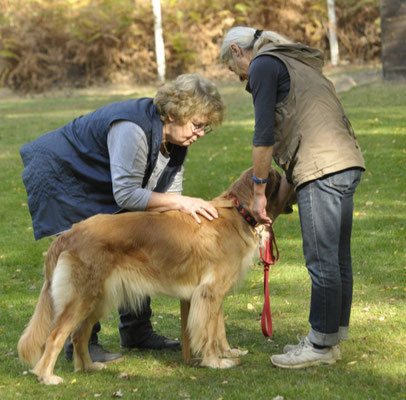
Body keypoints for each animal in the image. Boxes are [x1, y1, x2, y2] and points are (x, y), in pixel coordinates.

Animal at [18, 166, 294, 384]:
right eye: (282, 179)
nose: (295, 183)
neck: (239, 212)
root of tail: (68, 233)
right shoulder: (210, 292)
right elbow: (208, 332)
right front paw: (215, 362)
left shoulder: (214, 295)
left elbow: (219, 330)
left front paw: (228, 353)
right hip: (82, 298)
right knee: (56, 336)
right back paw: (47, 376)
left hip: (99, 298)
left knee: (79, 334)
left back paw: (89, 367)